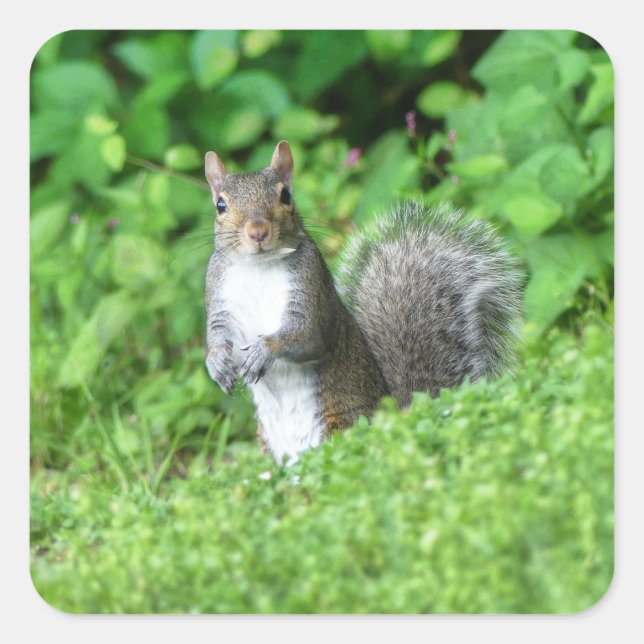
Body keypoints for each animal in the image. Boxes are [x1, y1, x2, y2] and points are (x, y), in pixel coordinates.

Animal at [204, 140, 523, 465]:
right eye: (220, 205)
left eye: (285, 196)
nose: (257, 232)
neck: (259, 267)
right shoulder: (218, 297)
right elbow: (217, 336)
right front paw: (216, 363)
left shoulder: (312, 292)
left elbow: (307, 336)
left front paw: (263, 350)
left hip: (341, 425)